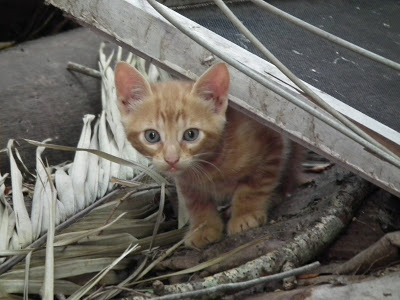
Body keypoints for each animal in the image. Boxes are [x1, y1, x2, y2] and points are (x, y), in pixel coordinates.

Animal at [114, 61, 302, 248]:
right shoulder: (186, 182)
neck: (209, 164)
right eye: (151, 136)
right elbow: (197, 203)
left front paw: (245, 216)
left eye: (191, 134)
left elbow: (253, 188)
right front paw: (204, 228)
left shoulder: (271, 146)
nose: (171, 159)